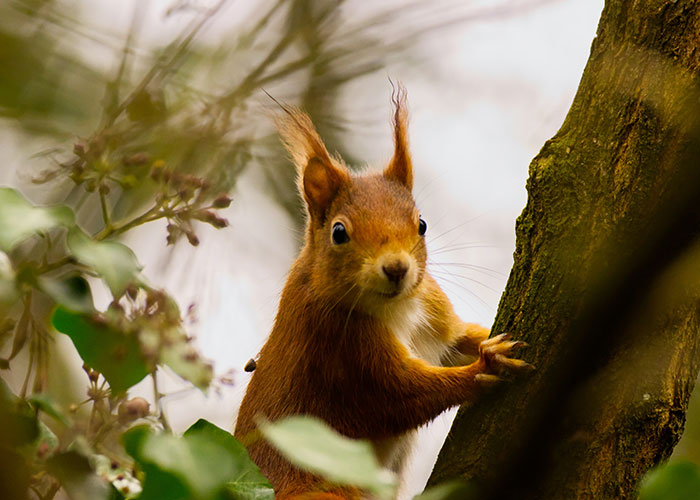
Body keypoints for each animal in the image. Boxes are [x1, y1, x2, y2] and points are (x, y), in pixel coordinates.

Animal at [234, 86, 532, 499]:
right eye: (339, 232)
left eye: (422, 224)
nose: (396, 268)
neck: (398, 308)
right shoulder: (345, 351)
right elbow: (405, 395)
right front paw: (487, 367)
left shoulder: (434, 315)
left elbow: (461, 340)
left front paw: (490, 344)